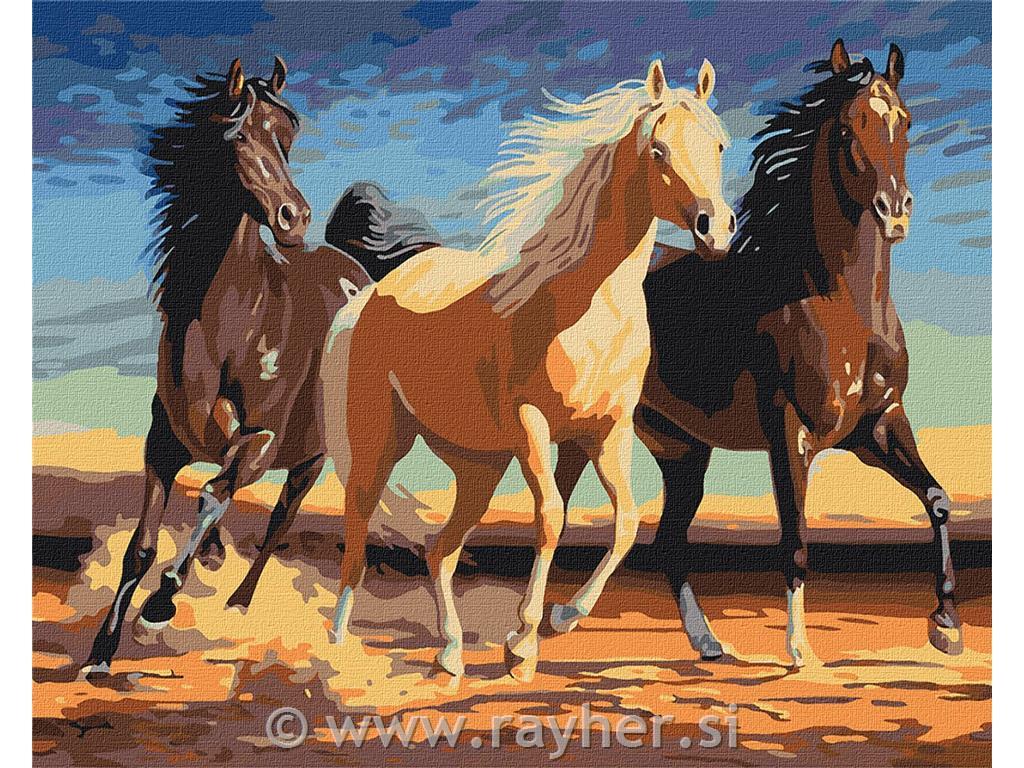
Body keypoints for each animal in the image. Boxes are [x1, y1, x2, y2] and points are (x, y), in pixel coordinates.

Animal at [84, 58, 438, 674]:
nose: (294, 217)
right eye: (240, 137)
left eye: (288, 139)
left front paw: (160, 605)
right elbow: (141, 547)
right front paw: (101, 652)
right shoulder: (162, 444)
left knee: (278, 525)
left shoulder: (262, 441)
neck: (231, 327)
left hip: (315, 459)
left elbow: (212, 498)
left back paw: (237, 604)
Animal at [320, 59, 734, 682]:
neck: (586, 306)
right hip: (379, 444)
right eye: (658, 149)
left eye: (720, 144)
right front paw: (523, 645)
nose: (717, 228)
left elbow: (627, 523)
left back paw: (451, 651)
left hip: (478, 466)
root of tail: (365, 297)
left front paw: (561, 620)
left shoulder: (608, 430)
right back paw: (339, 646)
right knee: (357, 536)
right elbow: (551, 519)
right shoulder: (533, 427)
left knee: (440, 549)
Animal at [552, 39, 963, 666]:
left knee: (668, 541)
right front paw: (800, 649)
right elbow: (794, 538)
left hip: (682, 450)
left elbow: (937, 500)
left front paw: (945, 625)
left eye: (906, 121)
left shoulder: (876, 426)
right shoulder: (790, 433)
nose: (896, 211)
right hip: (592, 431)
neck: (837, 304)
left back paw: (706, 642)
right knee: (560, 509)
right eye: (850, 128)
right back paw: (555, 618)